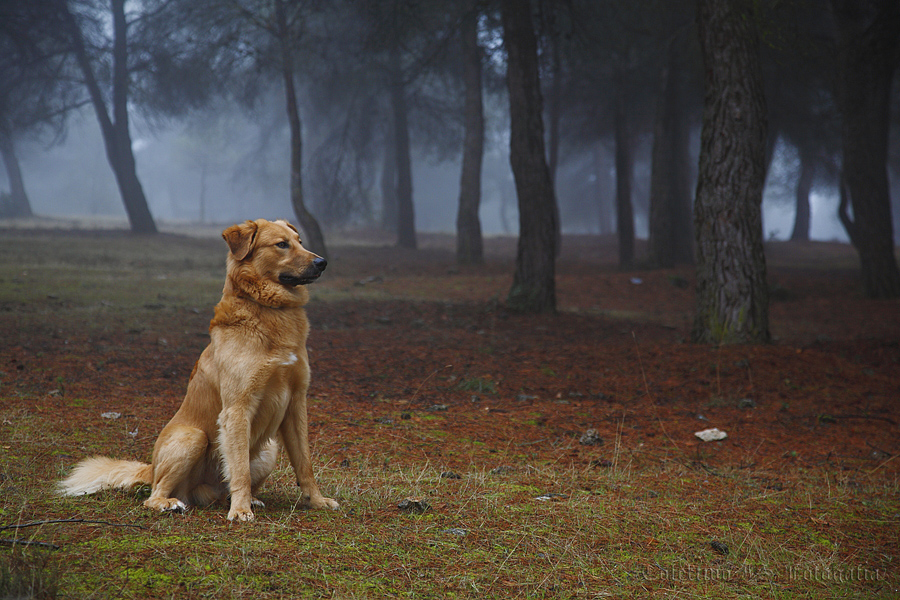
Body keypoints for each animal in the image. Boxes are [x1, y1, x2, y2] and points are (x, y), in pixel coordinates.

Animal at [57, 218, 338, 516]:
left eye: (299, 241)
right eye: (282, 244)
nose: (322, 262)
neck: (268, 312)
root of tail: (151, 468)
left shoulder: (296, 403)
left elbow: (304, 463)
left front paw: (316, 500)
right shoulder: (237, 409)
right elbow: (240, 470)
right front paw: (240, 511)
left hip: (269, 449)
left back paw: (247, 498)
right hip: (192, 437)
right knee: (154, 494)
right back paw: (172, 503)